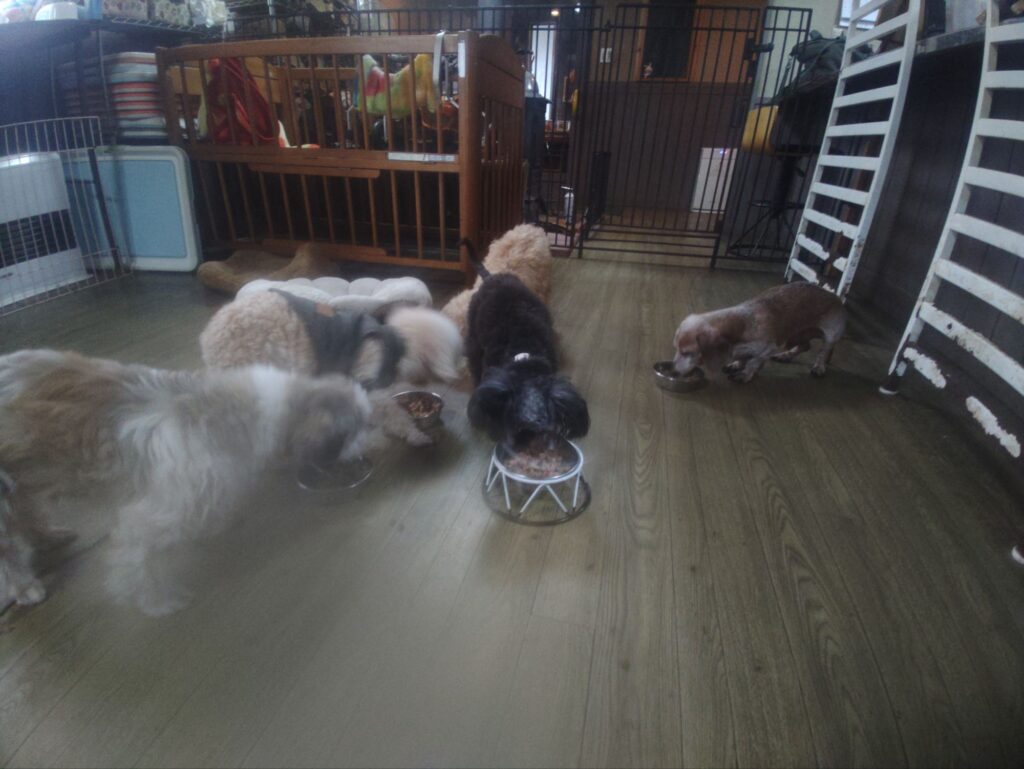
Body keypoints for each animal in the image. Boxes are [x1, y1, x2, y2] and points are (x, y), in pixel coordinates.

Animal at [0, 349, 370, 615]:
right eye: (351, 432)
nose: (366, 451)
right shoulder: (153, 517)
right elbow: (141, 564)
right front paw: (159, 602)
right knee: (9, 548)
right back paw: (24, 586)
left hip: (23, 481)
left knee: (27, 512)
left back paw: (48, 535)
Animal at [673, 283, 846, 383]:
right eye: (676, 349)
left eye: (687, 352)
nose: (673, 371)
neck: (742, 323)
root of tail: (833, 294)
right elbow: (744, 358)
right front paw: (736, 364)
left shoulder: (767, 349)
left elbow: (753, 362)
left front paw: (744, 374)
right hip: (796, 335)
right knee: (804, 346)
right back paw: (786, 355)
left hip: (831, 334)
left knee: (824, 351)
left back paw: (819, 367)